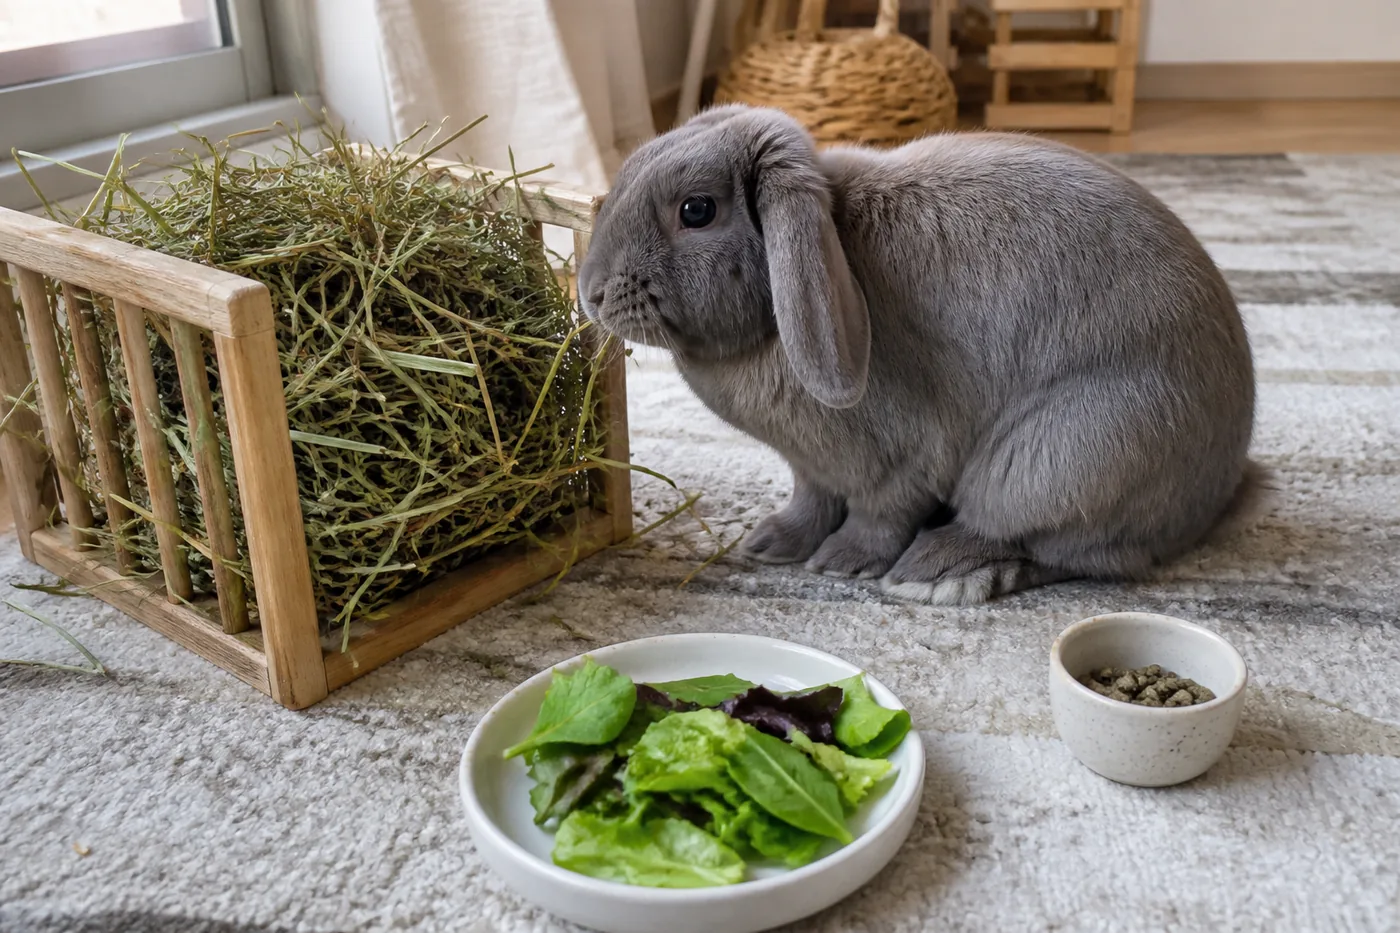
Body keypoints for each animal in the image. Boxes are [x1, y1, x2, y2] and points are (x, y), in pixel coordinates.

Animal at [578, 104, 1262, 604]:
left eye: (696, 210)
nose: (591, 294)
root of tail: (1217, 491)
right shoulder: (811, 468)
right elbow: (810, 501)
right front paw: (770, 543)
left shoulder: (902, 459)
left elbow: (879, 514)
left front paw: (841, 563)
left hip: (1058, 462)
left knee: (1065, 551)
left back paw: (936, 571)